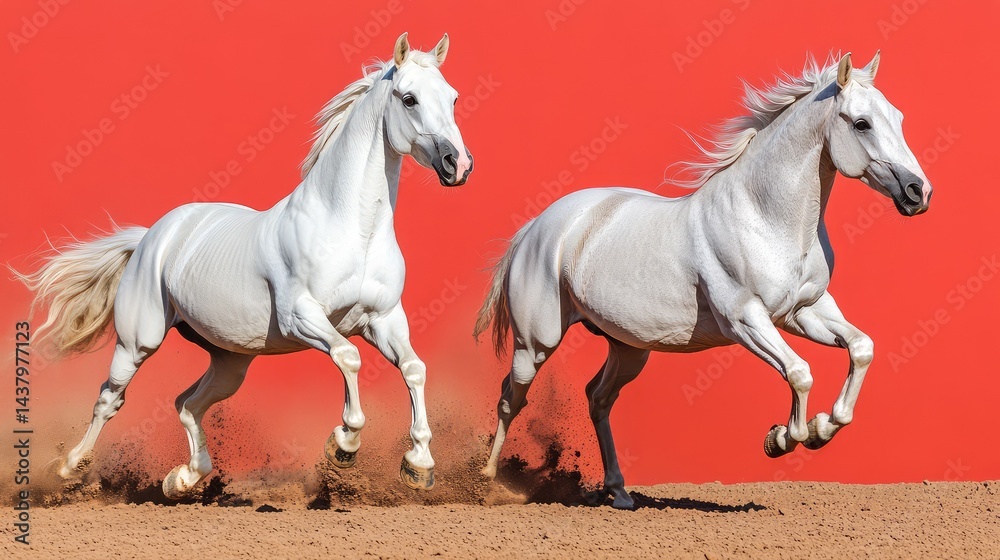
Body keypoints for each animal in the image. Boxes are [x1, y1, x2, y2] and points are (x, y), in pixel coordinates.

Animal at [17, 33, 473, 498]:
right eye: (409, 98)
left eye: (453, 98)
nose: (458, 165)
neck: (350, 230)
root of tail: (151, 236)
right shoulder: (302, 317)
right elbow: (348, 358)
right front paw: (343, 445)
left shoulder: (383, 319)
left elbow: (414, 369)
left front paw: (418, 464)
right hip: (138, 342)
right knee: (110, 400)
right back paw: (69, 467)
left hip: (230, 362)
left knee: (187, 404)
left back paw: (182, 478)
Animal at [474, 52, 932, 509]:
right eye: (861, 123)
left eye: (898, 117)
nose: (918, 192)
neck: (766, 217)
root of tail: (536, 227)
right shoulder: (745, 320)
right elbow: (800, 372)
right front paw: (782, 439)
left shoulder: (804, 312)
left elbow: (861, 348)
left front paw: (823, 427)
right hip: (536, 343)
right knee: (510, 399)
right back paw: (487, 482)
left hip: (629, 348)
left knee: (598, 398)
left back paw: (619, 492)